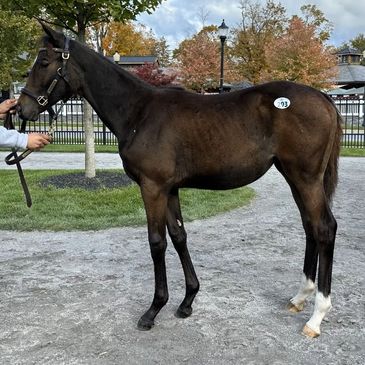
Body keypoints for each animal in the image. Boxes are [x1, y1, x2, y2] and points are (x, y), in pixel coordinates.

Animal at [17, 24, 342, 336]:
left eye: (44, 62)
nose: (22, 109)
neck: (139, 112)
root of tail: (324, 98)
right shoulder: (170, 188)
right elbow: (179, 236)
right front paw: (187, 301)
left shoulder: (152, 187)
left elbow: (157, 242)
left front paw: (153, 310)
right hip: (294, 177)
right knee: (310, 227)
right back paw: (300, 297)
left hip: (305, 178)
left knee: (324, 228)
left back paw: (316, 317)